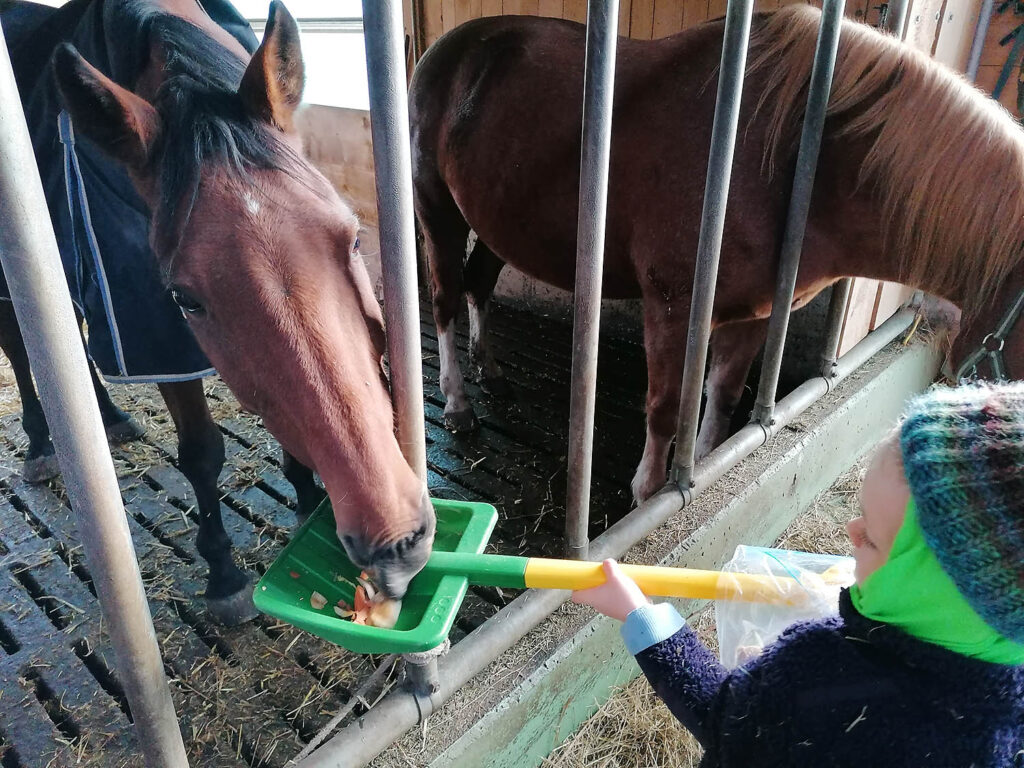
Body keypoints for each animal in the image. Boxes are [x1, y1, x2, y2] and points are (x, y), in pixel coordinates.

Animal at [0, 0, 434, 622]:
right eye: (186, 298)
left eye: (353, 238)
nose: (396, 542)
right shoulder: (156, 337)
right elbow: (202, 453)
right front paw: (225, 574)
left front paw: (306, 494)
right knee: (19, 345)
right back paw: (40, 444)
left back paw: (110, 417)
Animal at [407, 7, 1024, 505]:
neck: (791, 161)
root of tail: (449, 49)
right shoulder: (673, 306)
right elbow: (666, 404)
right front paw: (649, 492)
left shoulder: (757, 311)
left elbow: (722, 396)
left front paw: (700, 470)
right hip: (437, 211)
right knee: (444, 299)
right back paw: (458, 406)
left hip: (495, 223)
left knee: (479, 286)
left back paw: (491, 372)